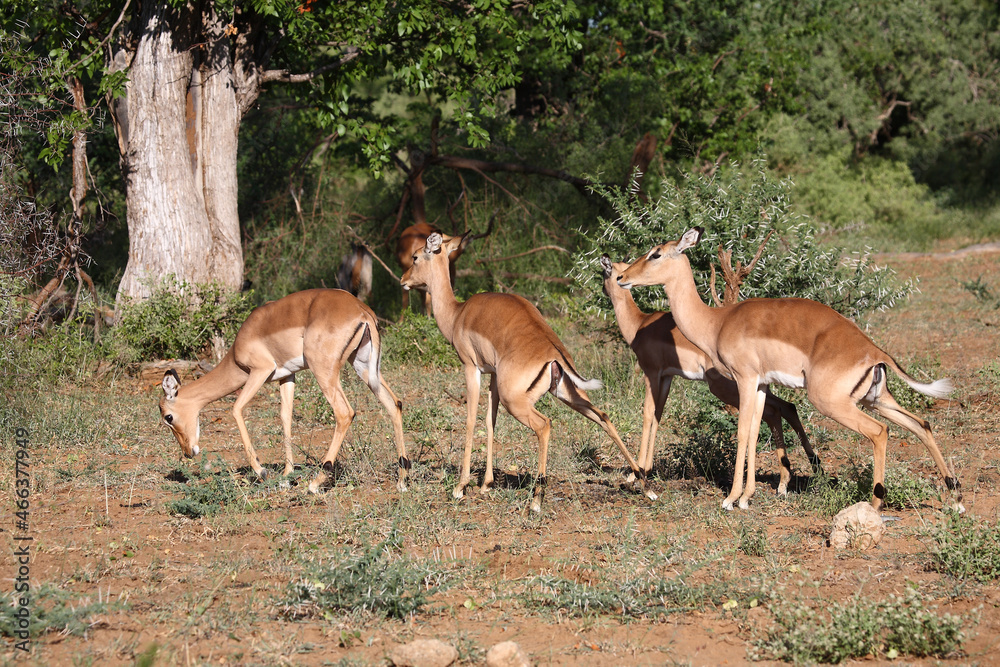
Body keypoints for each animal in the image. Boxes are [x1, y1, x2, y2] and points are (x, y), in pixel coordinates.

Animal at [159, 289, 410, 494]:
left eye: (168, 417)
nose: (188, 452)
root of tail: (362, 311)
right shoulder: (287, 376)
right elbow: (285, 417)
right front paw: (286, 476)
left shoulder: (260, 371)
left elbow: (236, 409)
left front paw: (262, 471)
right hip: (364, 367)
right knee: (394, 403)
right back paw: (402, 480)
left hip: (325, 371)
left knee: (344, 413)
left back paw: (316, 482)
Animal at [401, 231, 656, 512]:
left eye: (415, 257)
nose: (403, 280)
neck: (457, 314)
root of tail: (553, 351)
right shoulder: (493, 376)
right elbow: (490, 422)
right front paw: (486, 484)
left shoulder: (471, 367)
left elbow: (470, 421)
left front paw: (461, 487)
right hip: (568, 393)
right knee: (603, 416)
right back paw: (645, 486)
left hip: (518, 402)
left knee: (545, 425)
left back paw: (537, 499)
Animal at [600, 255, 819, 493]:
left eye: (606, 272)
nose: (614, 282)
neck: (639, 323)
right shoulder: (667, 377)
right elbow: (659, 414)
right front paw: (646, 468)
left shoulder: (652, 372)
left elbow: (648, 414)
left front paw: (635, 474)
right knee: (784, 408)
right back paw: (795, 476)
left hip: (727, 387)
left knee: (774, 411)